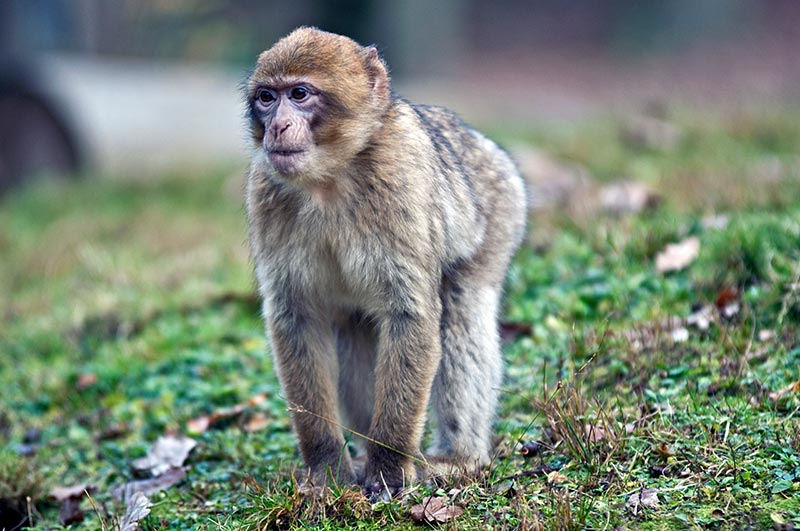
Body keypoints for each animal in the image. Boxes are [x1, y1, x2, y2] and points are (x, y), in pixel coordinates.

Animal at [247, 27, 528, 496]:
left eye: (300, 94)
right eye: (267, 98)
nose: (277, 126)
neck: (329, 179)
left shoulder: (401, 181)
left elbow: (411, 316)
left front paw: (390, 467)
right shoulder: (264, 193)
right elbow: (297, 319)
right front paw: (326, 469)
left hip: (500, 210)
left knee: (461, 309)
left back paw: (458, 456)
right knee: (353, 331)